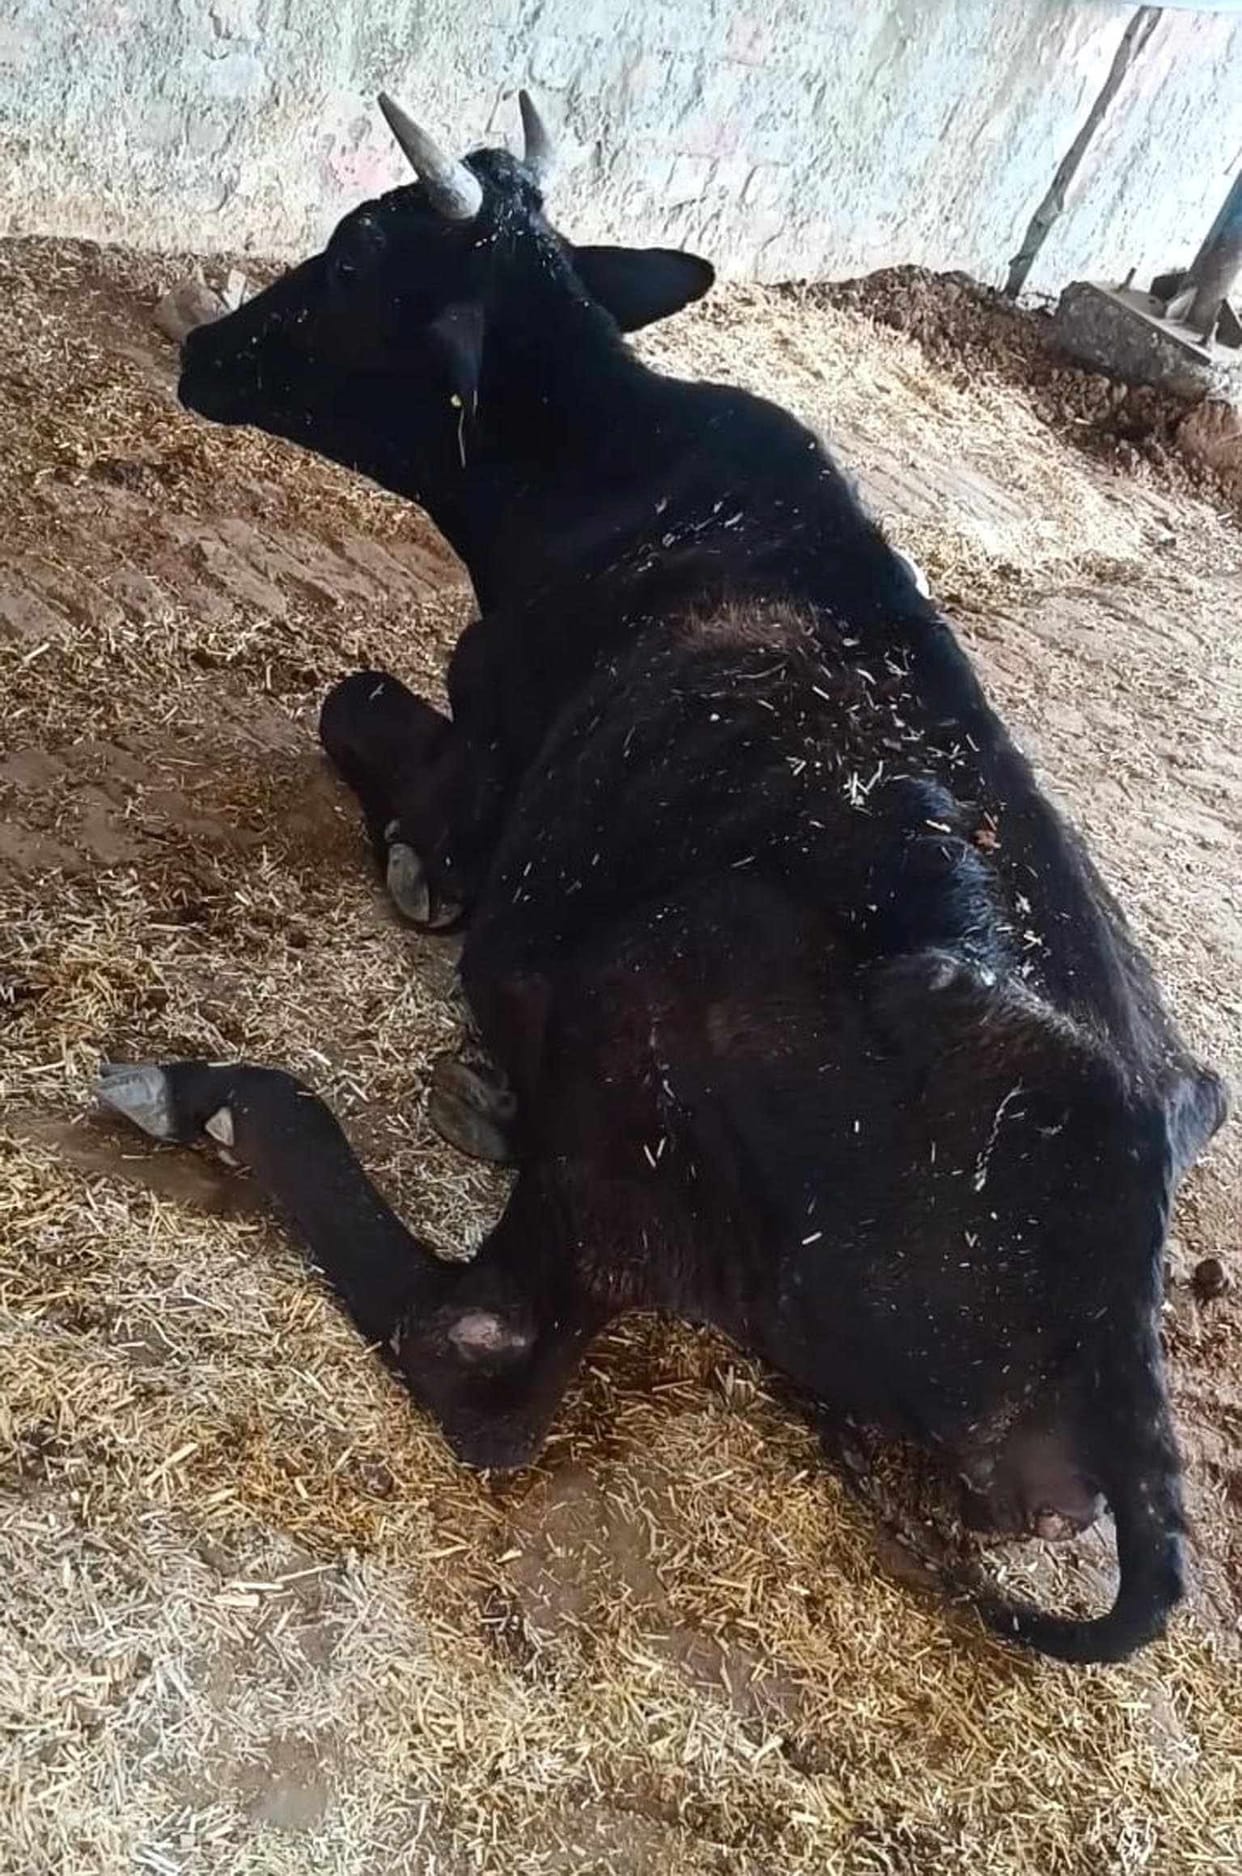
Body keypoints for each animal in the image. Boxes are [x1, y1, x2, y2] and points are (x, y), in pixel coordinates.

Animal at [98, 92, 1227, 1663]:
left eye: (355, 249)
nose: (205, 348)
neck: (613, 479)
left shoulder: (487, 765)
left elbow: (351, 703)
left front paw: (407, 872)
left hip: (645, 1001)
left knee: (478, 1342)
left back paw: (210, 1093)